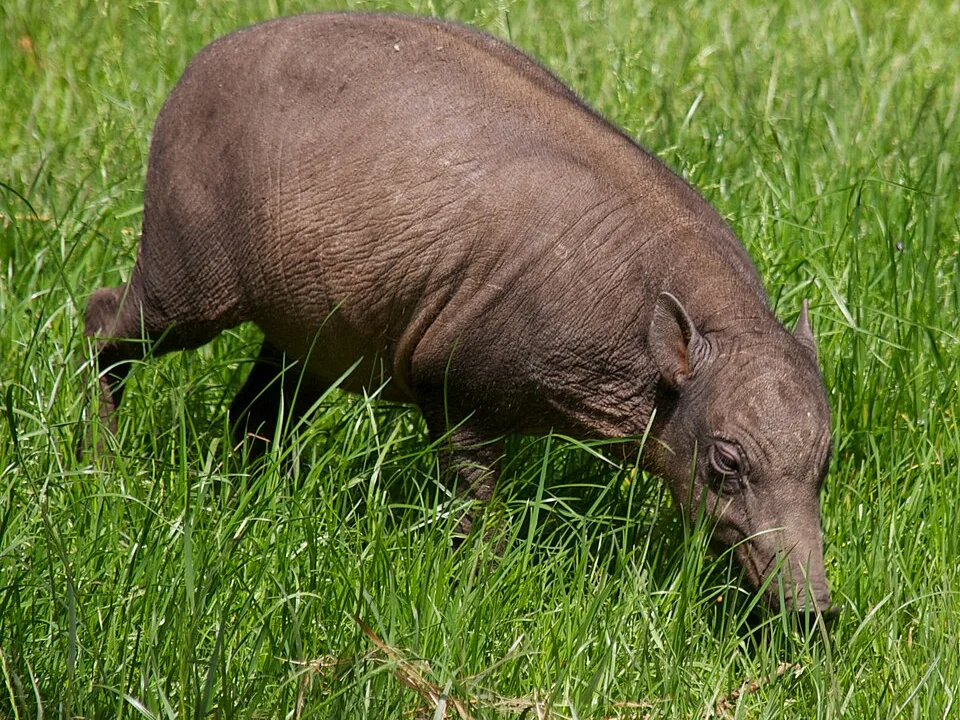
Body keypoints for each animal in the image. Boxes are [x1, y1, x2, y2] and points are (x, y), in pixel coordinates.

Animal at [84, 12, 834, 615]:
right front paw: (486, 583)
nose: (813, 611)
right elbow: (477, 502)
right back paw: (103, 461)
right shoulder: (452, 386)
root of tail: (194, 66)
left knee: (253, 412)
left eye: (824, 463)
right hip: (187, 282)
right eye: (726, 461)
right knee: (103, 320)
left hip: (308, 334)